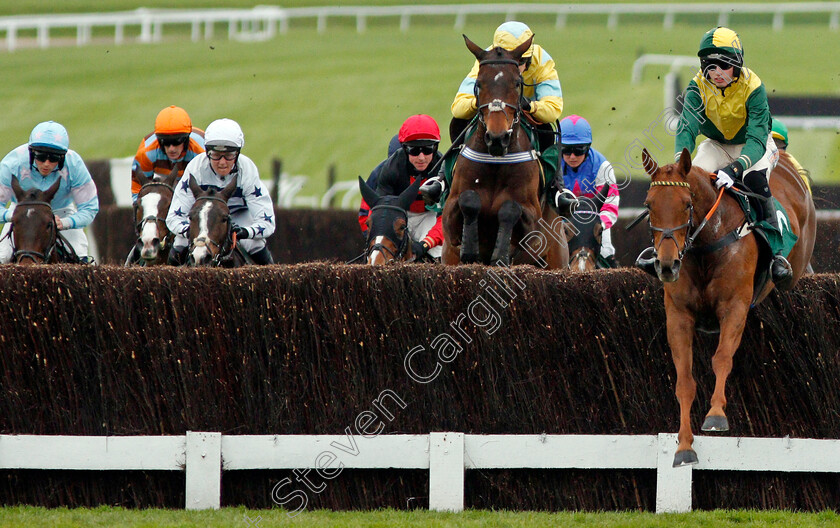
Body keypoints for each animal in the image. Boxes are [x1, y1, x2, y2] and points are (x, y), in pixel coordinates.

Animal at [440, 35, 572, 270]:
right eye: (478, 83)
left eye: (517, 83)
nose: (497, 137)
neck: (496, 161)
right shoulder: (450, 215)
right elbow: (469, 199)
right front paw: (470, 249)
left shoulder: (533, 220)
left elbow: (510, 208)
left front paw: (499, 254)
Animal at [644, 146, 812, 464]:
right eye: (648, 206)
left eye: (687, 204)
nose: (667, 266)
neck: (705, 245)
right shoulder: (678, 315)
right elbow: (684, 381)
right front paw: (684, 447)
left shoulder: (735, 306)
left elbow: (721, 357)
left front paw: (716, 415)